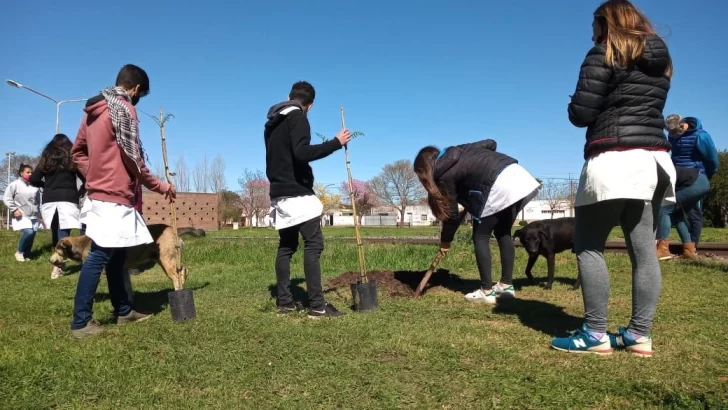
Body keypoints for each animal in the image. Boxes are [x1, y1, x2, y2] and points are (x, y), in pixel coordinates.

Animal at [48, 224, 203, 288]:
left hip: (167, 260)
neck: (82, 244)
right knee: (184, 271)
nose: (50, 260)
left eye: (56, 250)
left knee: (178, 276)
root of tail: (173, 229)